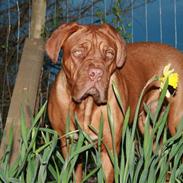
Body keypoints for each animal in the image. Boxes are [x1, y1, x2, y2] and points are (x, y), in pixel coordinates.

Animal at [45, 22, 183, 183]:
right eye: (78, 52)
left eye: (109, 54)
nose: (96, 73)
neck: (86, 105)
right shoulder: (69, 145)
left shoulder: (109, 148)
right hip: (147, 127)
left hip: (175, 124)